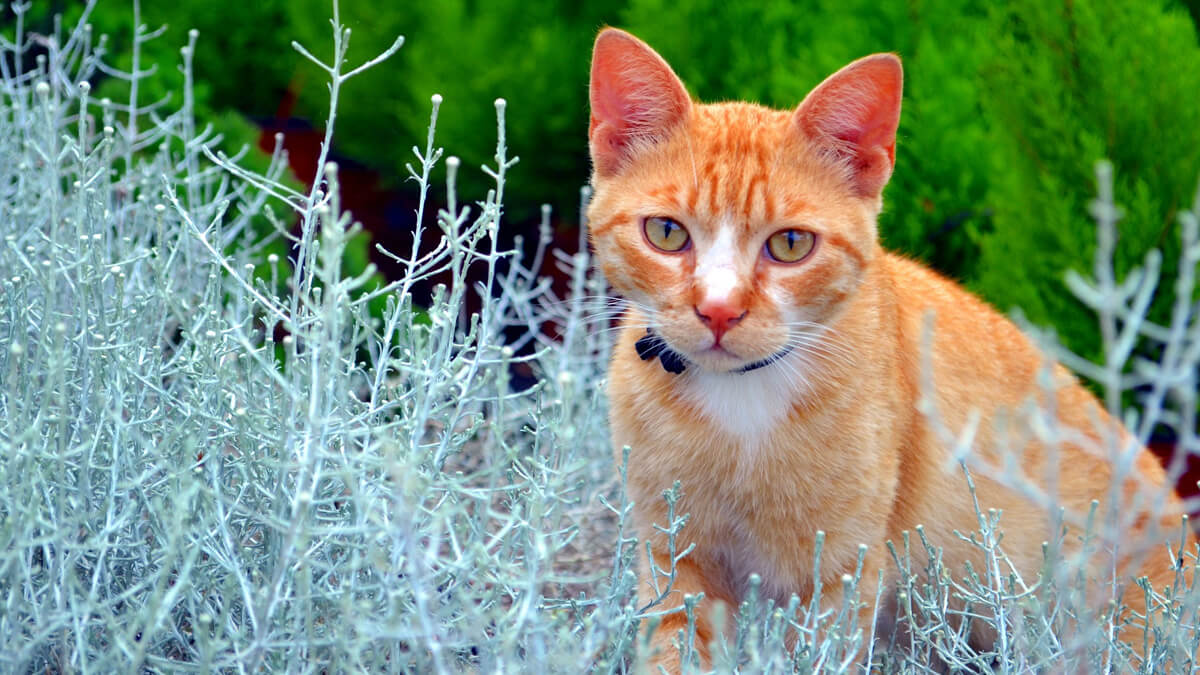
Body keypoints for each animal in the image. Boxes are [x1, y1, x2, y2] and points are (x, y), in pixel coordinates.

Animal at [585, 26, 1195, 667]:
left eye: (791, 244)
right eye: (667, 233)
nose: (720, 310)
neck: (741, 408)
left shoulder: (838, 574)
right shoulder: (675, 558)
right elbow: (673, 650)